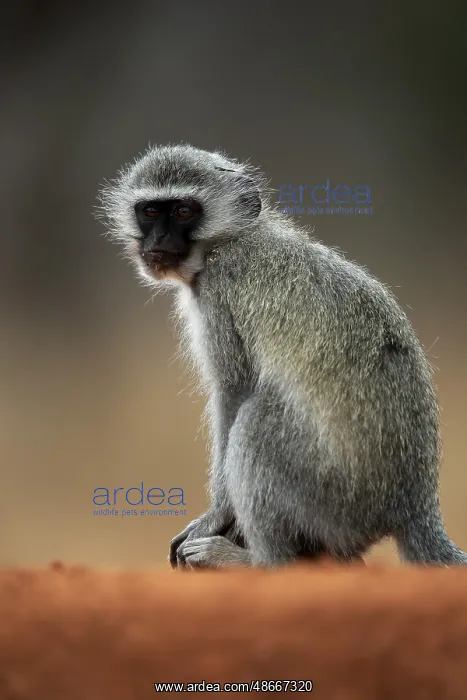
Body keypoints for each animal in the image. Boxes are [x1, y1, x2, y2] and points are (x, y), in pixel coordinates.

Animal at [98, 144, 467, 569]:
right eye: (150, 212)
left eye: (184, 212)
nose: (156, 240)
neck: (230, 240)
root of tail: (413, 504)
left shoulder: (216, 290)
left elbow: (234, 391)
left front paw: (215, 515)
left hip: (332, 499)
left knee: (256, 418)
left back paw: (259, 562)